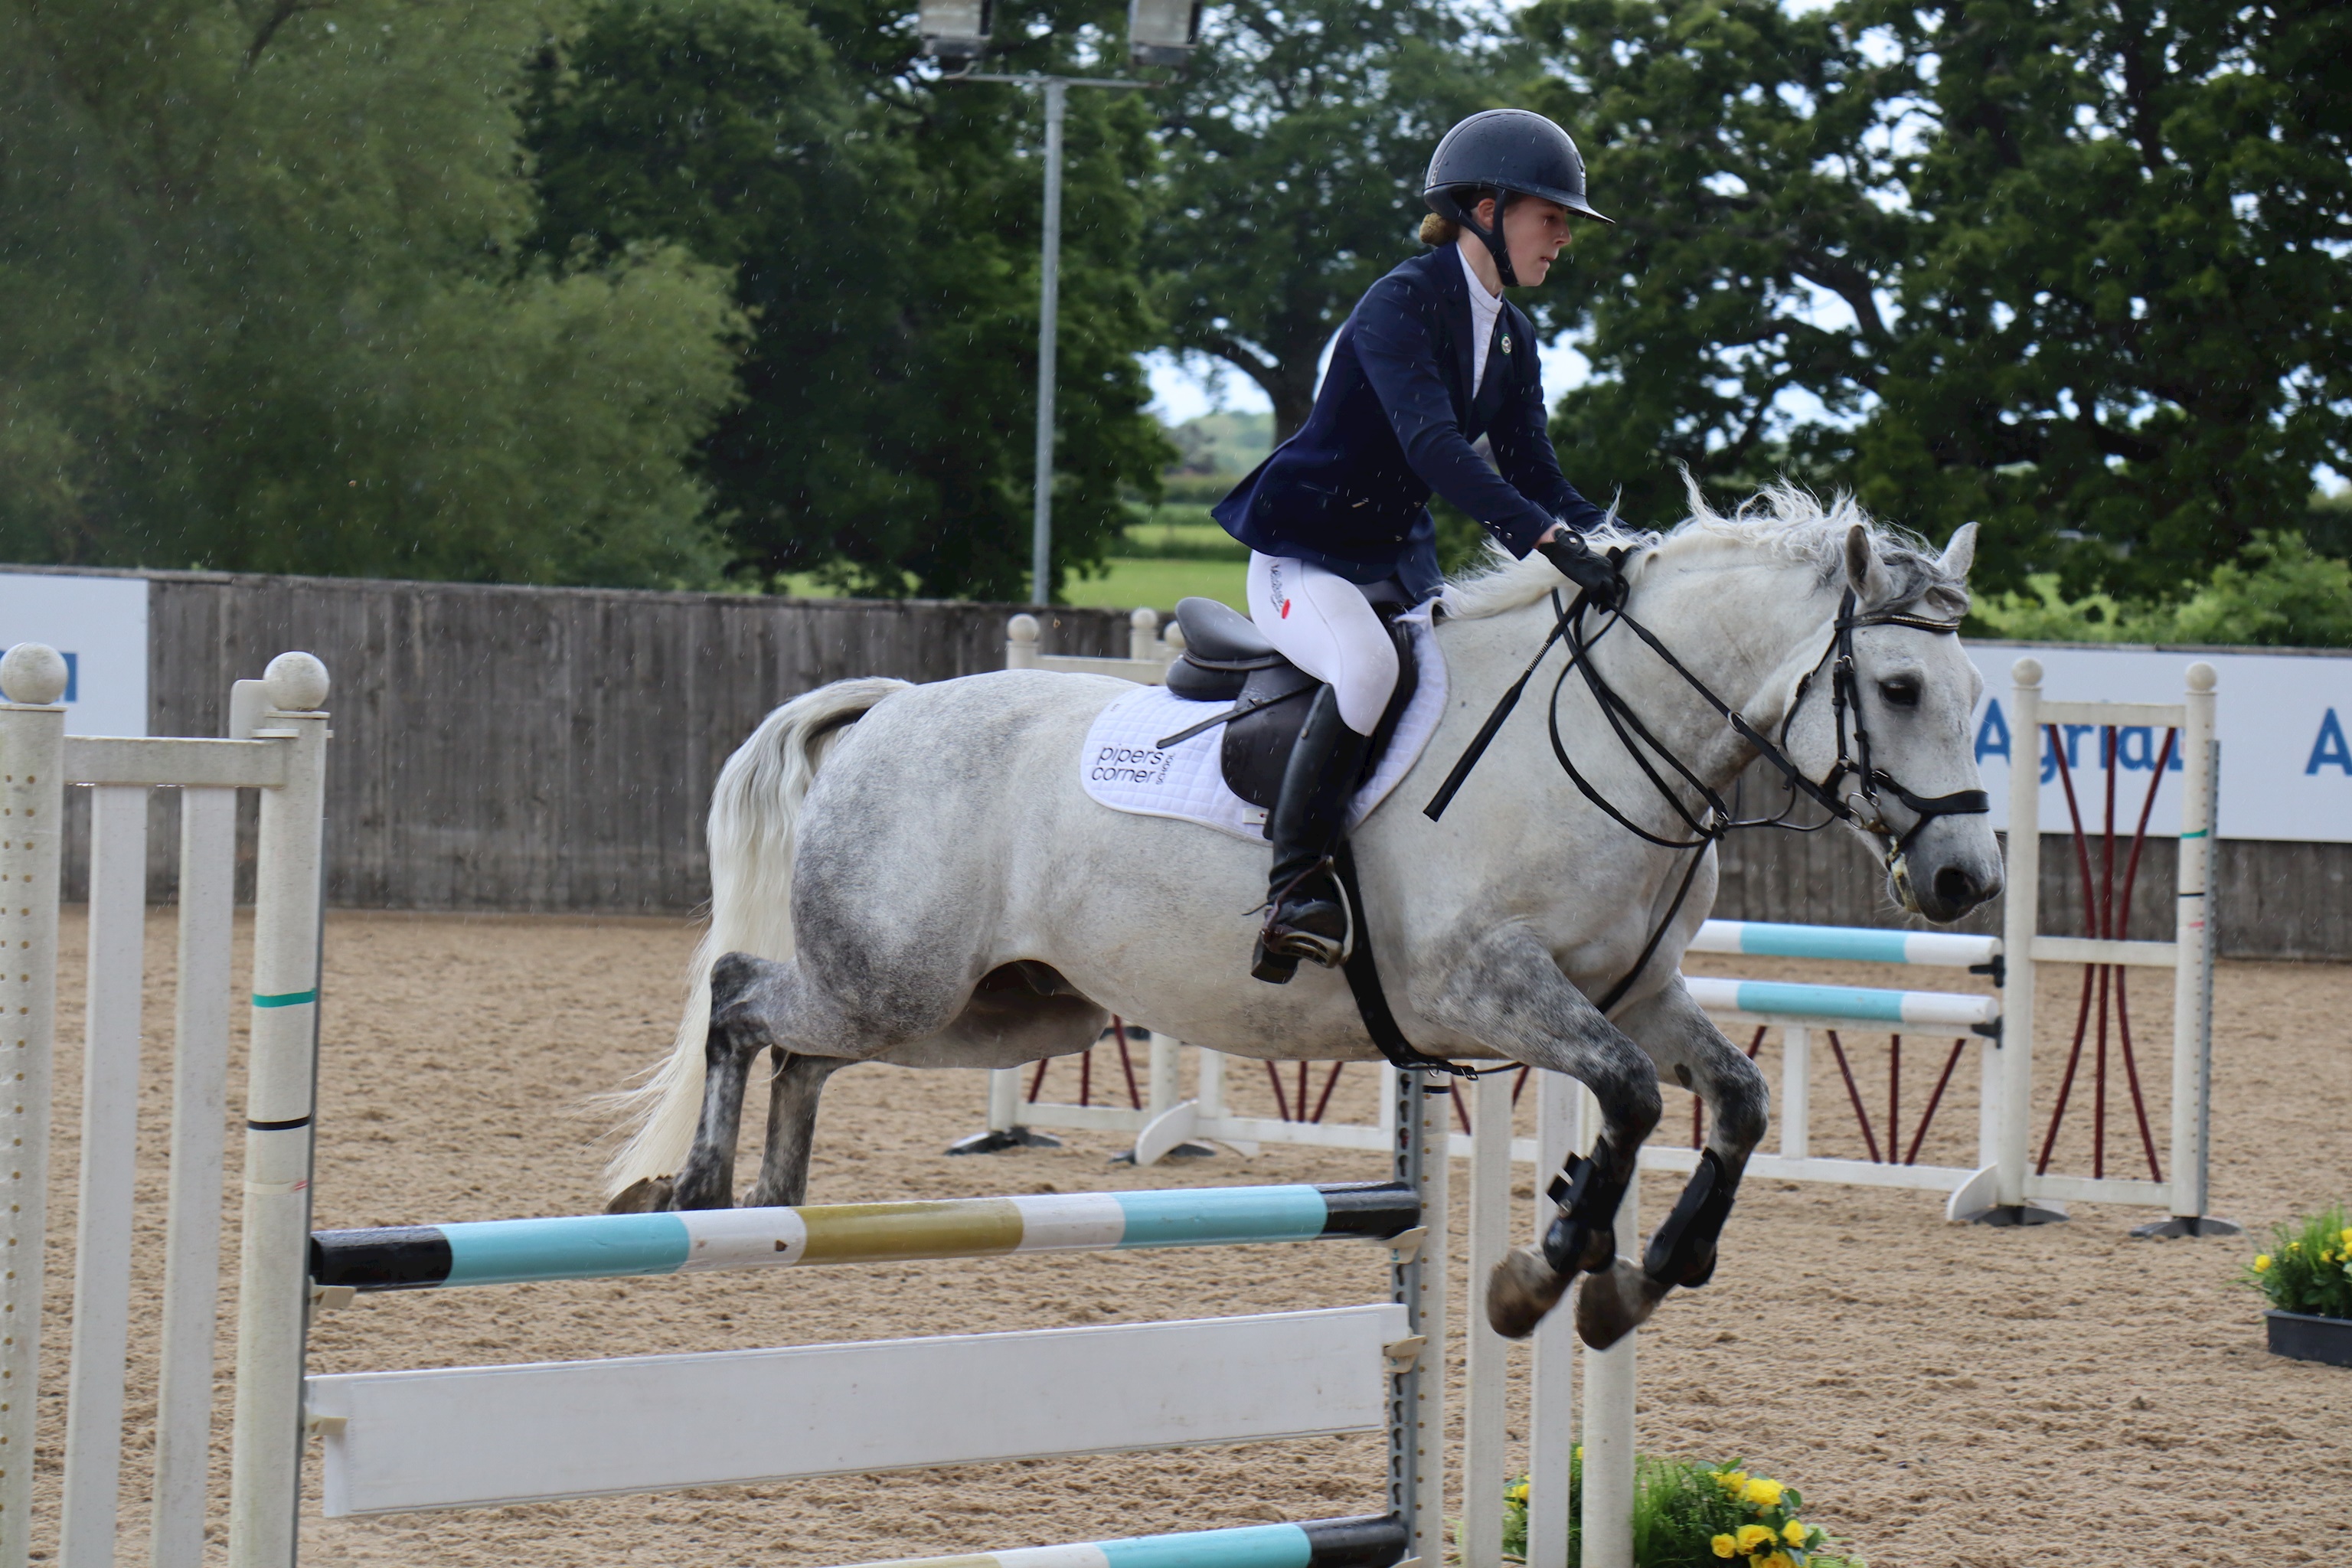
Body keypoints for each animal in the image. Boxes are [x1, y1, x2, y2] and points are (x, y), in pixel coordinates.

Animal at [606, 491, 2004, 1354]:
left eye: (1973, 694)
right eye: (1895, 686)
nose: (1965, 881)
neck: (1610, 732)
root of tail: (893, 706)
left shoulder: (1638, 992)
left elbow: (1736, 1101)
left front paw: (1637, 1279)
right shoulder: (1487, 987)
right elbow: (1630, 1099)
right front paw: (1544, 1268)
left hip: (997, 1010)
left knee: (801, 1046)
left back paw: (772, 1203)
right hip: (903, 982)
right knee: (743, 994)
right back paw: (699, 1188)